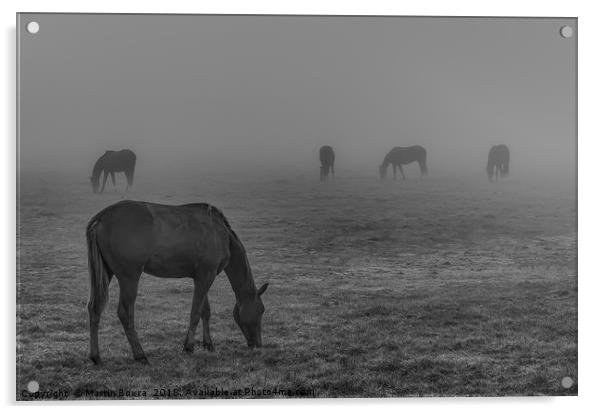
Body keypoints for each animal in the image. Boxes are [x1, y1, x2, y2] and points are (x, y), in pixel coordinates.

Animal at [86, 201, 268, 366]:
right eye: (261, 310)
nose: (258, 345)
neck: (220, 233)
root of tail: (102, 217)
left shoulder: (202, 276)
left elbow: (205, 311)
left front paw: (208, 344)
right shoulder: (206, 275)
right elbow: (196, 312)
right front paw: (188, 347)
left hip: (106, 272)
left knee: (95, 308)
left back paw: (96, 357)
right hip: (129, 277)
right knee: (125, 313)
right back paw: (140, 355)